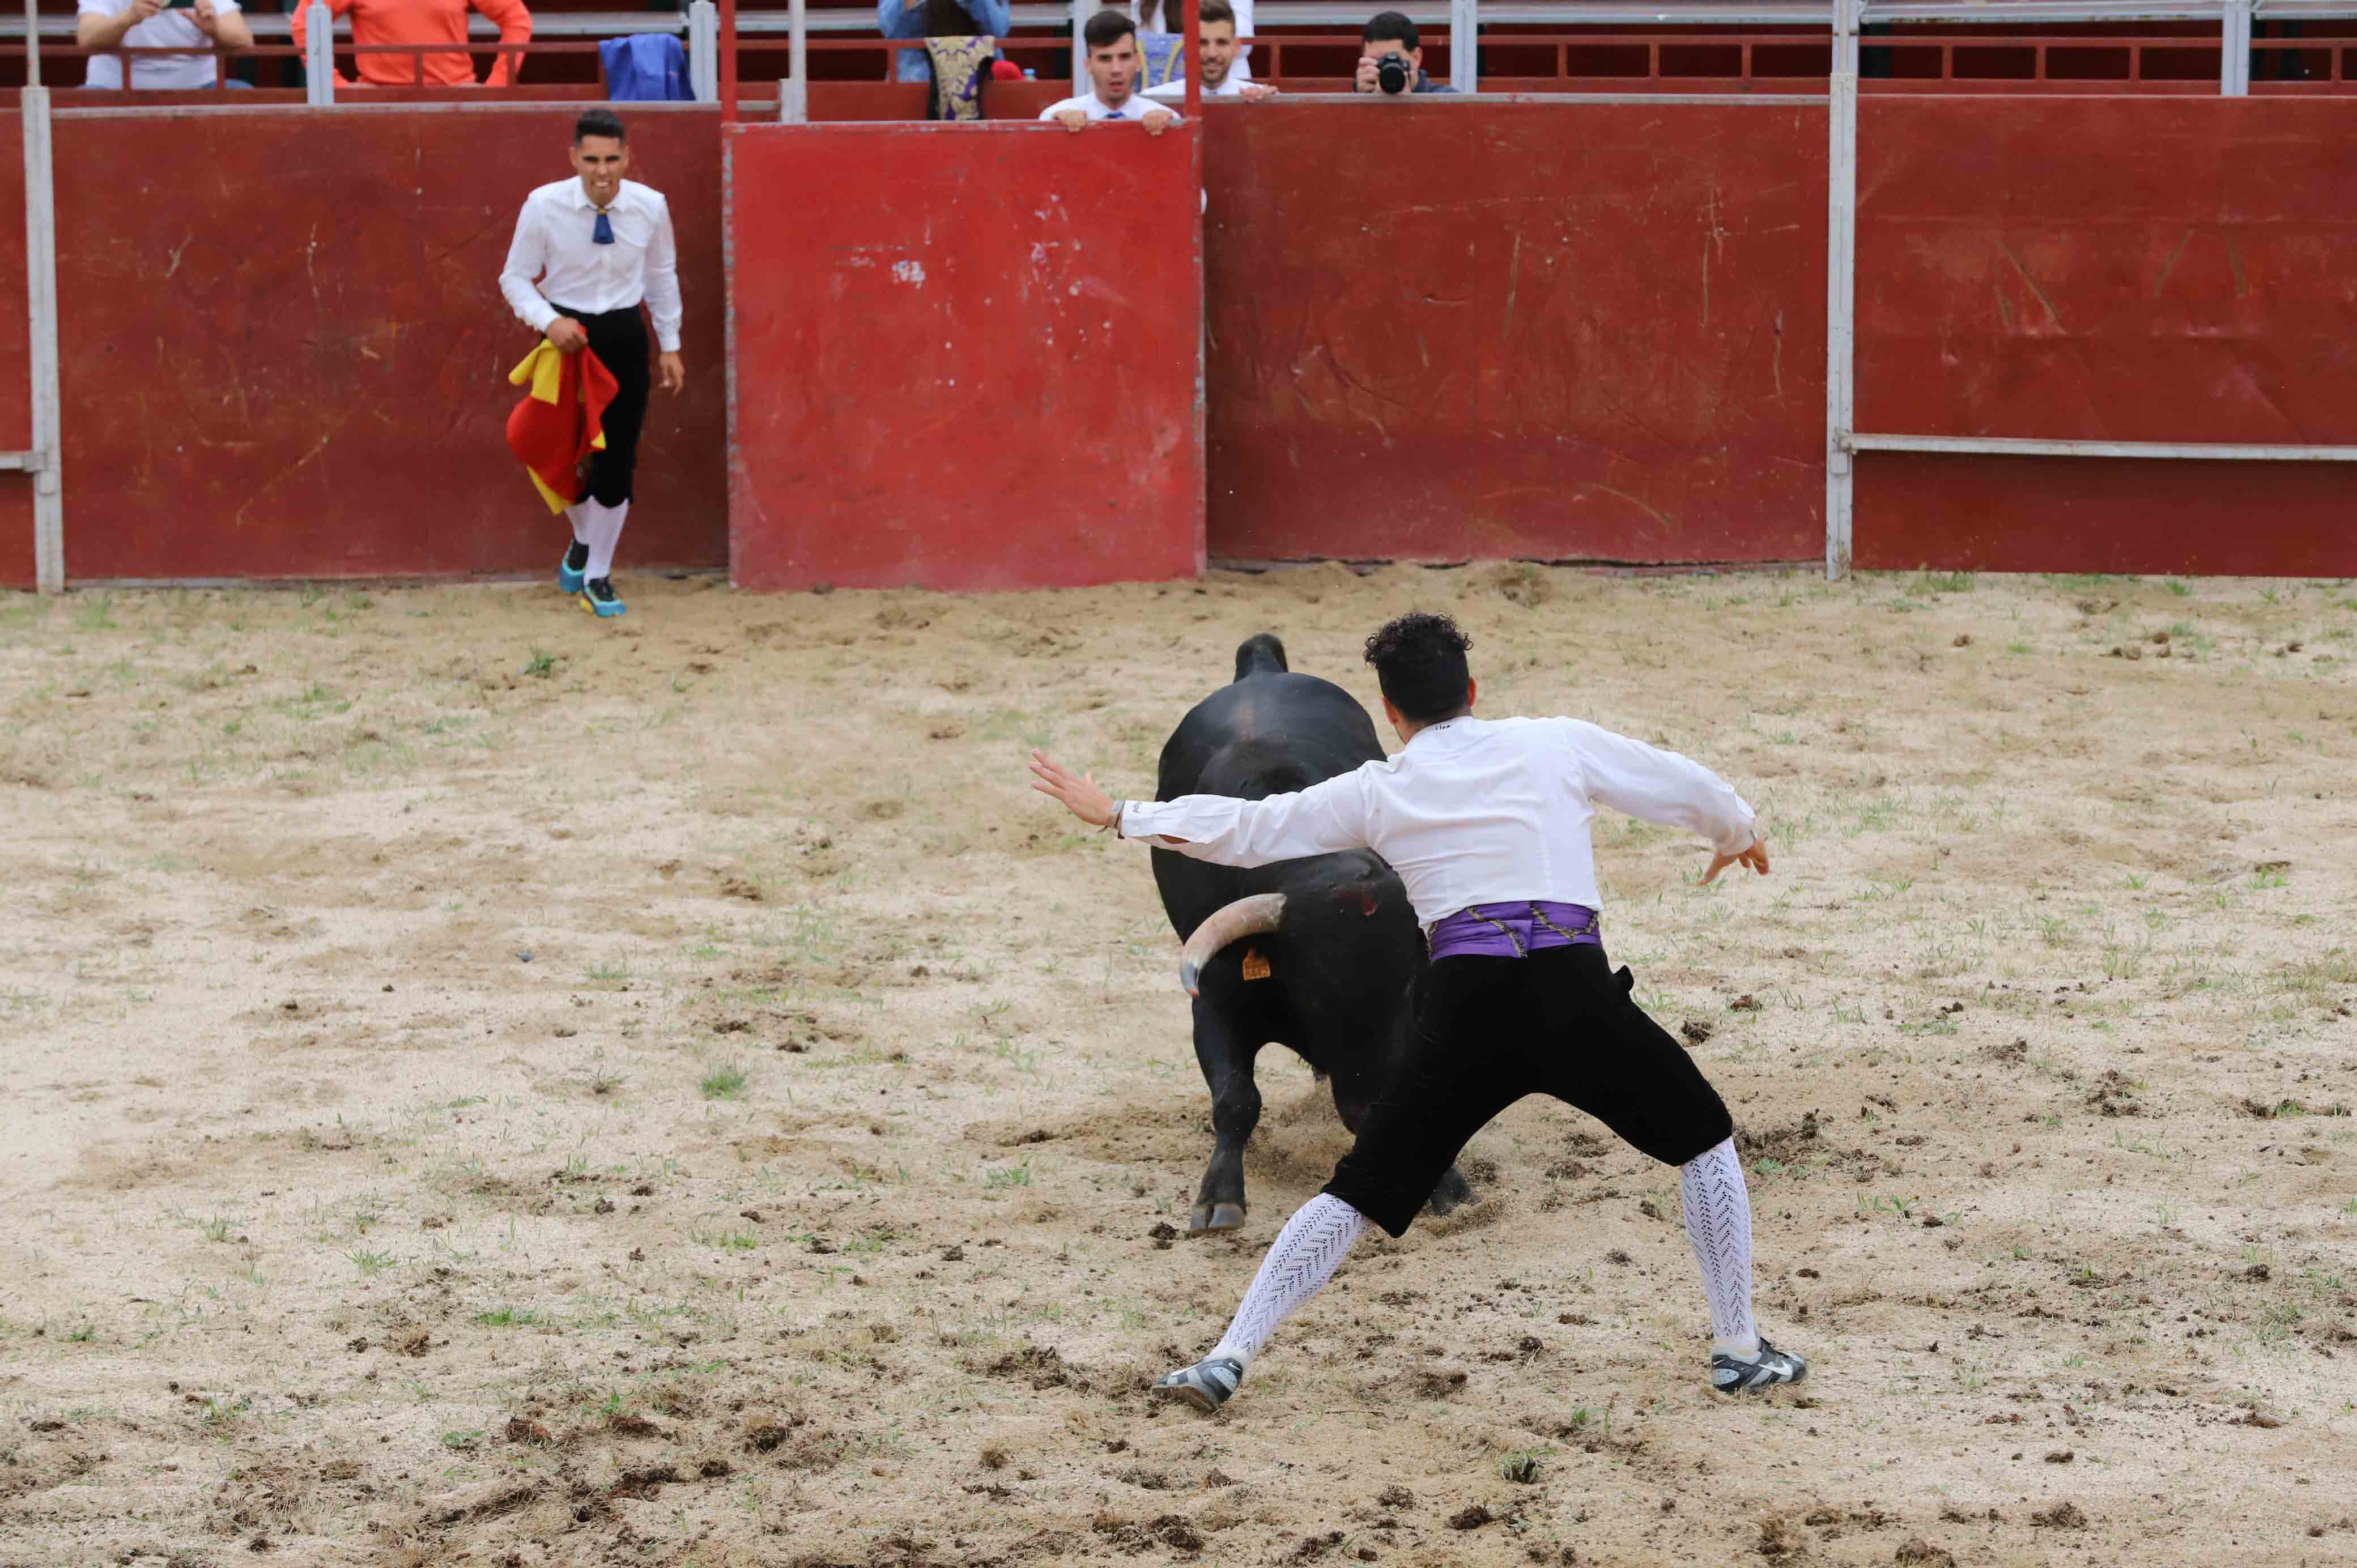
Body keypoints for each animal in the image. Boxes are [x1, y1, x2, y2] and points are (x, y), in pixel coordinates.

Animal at [1145, 636, 1470, 1235]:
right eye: (1316, 991)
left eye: (1407, 990)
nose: (1366, 1101)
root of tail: (1260, 669)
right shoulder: (1214, 1001)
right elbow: (1236, 1099)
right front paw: (1219, 1198)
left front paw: (1449, 1187)